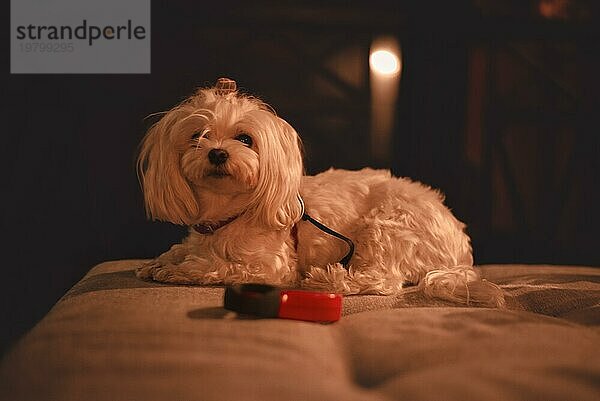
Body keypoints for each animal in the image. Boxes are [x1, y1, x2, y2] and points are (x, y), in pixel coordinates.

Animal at [137, 79, 506, 308]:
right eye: (197, 136)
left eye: (245, 139)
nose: (217, 153)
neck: (229, 214)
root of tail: (461, 250)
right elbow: (180, 249)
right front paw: (161, 260)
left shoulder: (270, 266)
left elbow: (218, 265)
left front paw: (181, 269)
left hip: (386, 225)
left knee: (383, 280)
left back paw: (327, 279)